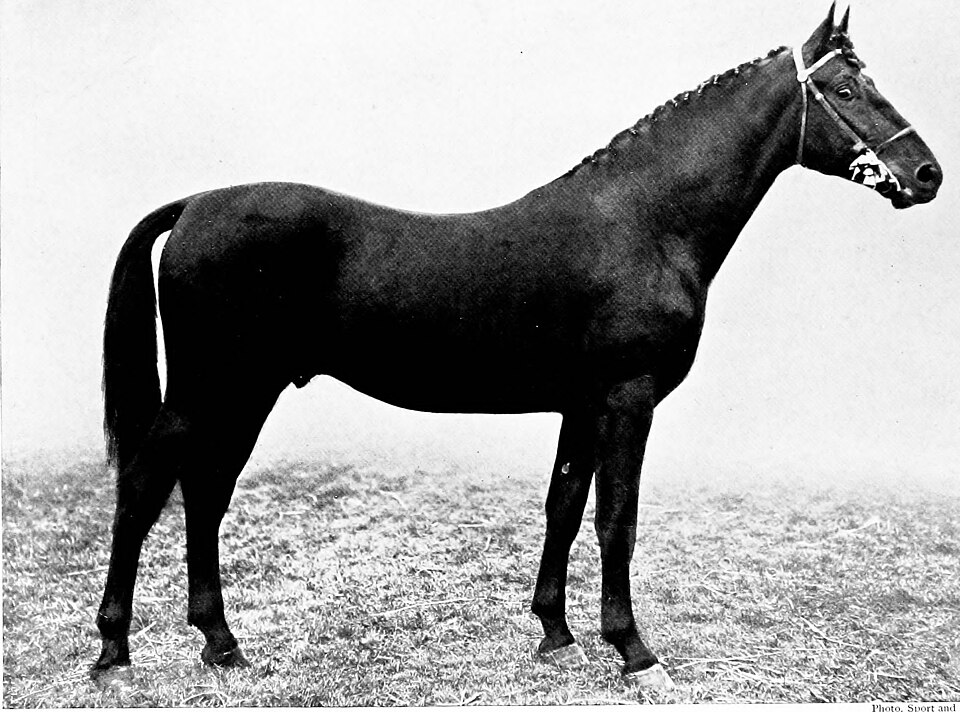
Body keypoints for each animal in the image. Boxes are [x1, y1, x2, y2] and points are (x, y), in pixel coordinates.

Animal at [93, 3, 941, 690]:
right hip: (211, 387)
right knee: (143, 488)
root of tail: (194, 205)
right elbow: (617, 518)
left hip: (244, 393)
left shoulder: (582, 406)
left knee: (204, 493)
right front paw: (635, 652)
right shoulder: (628, 400)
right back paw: (113, 653)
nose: (927, 173)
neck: (644, 220)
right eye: (848, 89)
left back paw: (221, 645)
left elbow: (562, 506)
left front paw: (556, 635)